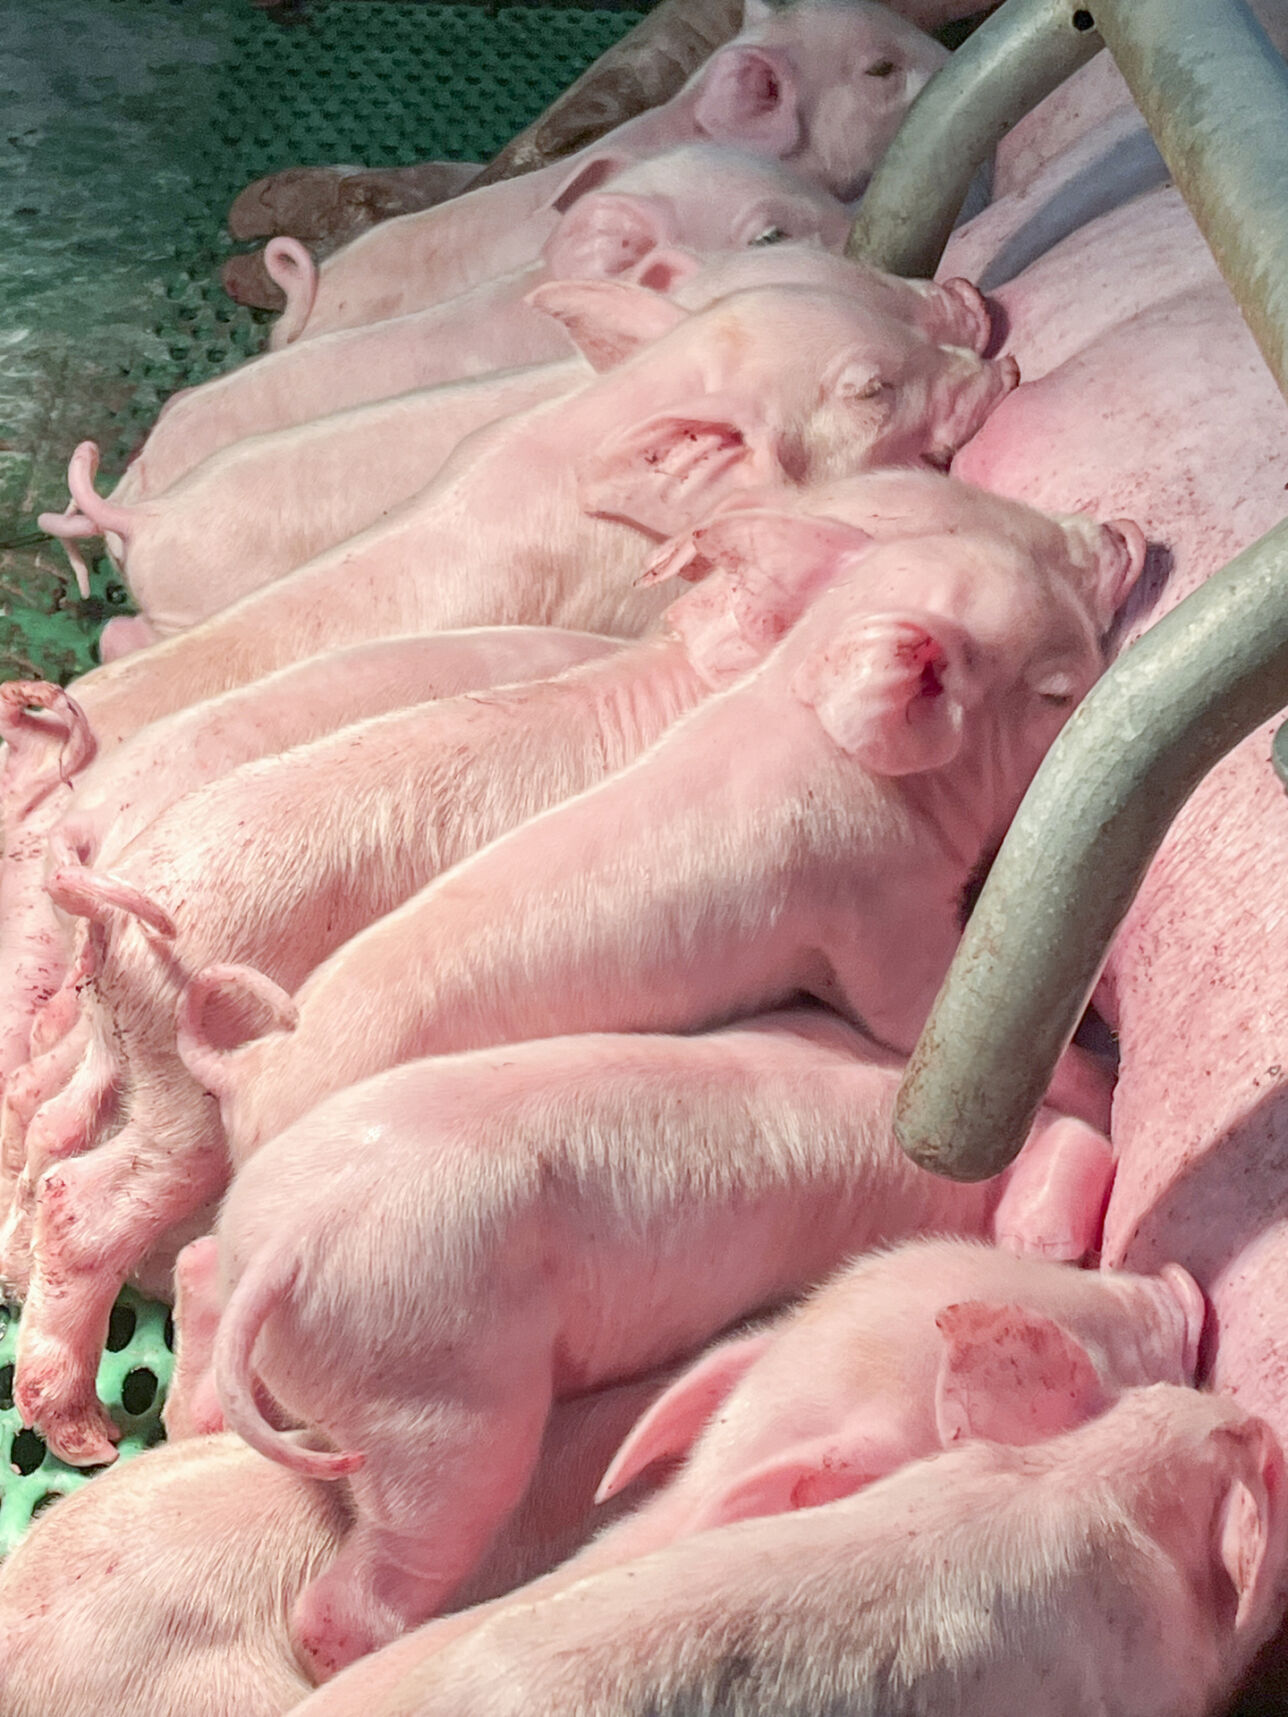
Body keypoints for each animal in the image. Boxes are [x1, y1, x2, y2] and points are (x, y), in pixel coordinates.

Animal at [7, 471, 1089, 1457]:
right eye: (955, 516)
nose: (1108, 533)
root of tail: (105, 856)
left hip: (127, 1045)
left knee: (55, 1130)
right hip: (184, 1094)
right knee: (98, 1201)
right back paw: (89, 1435)